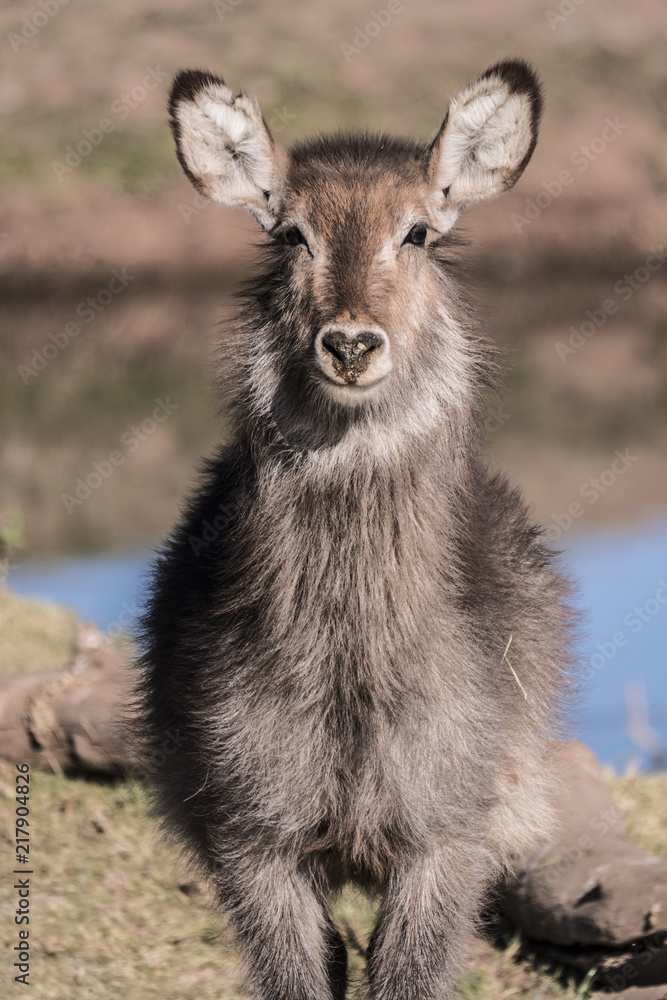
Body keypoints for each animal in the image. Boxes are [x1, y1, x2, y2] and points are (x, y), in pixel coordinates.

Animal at [138, 62, 572, 1000]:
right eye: (292, 235)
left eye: (416, 232)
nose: (348, 343)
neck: (351, 679)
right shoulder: (252, 837)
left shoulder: (444, 835)